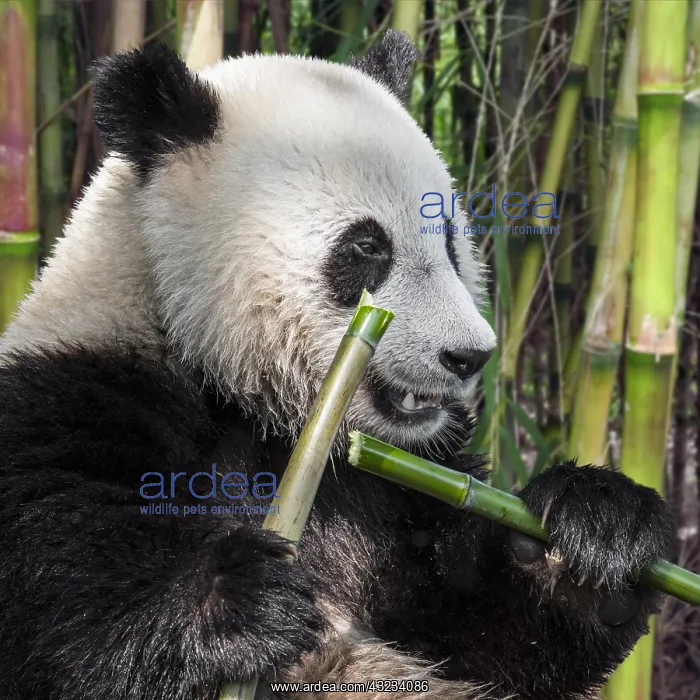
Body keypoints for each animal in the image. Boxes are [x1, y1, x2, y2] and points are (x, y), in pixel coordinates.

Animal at [0, 31, 674, 700]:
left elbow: (477, 632)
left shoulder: (392, 486)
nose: (469, 355)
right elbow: (64, 623)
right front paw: (240, 602)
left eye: (451, 243)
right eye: (367, 247)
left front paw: (593, 535)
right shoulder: (72, 408)